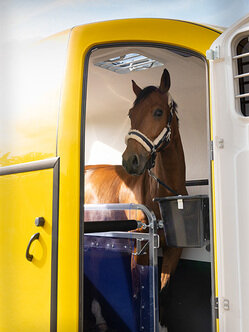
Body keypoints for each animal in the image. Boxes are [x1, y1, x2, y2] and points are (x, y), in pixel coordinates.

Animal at [84, 68, 187, 326]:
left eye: (158, 111)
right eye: (131, 114)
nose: (130, 160)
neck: (162, 193)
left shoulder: (173, 250)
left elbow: (162, 290)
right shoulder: (138, 246)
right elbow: (137, 293)